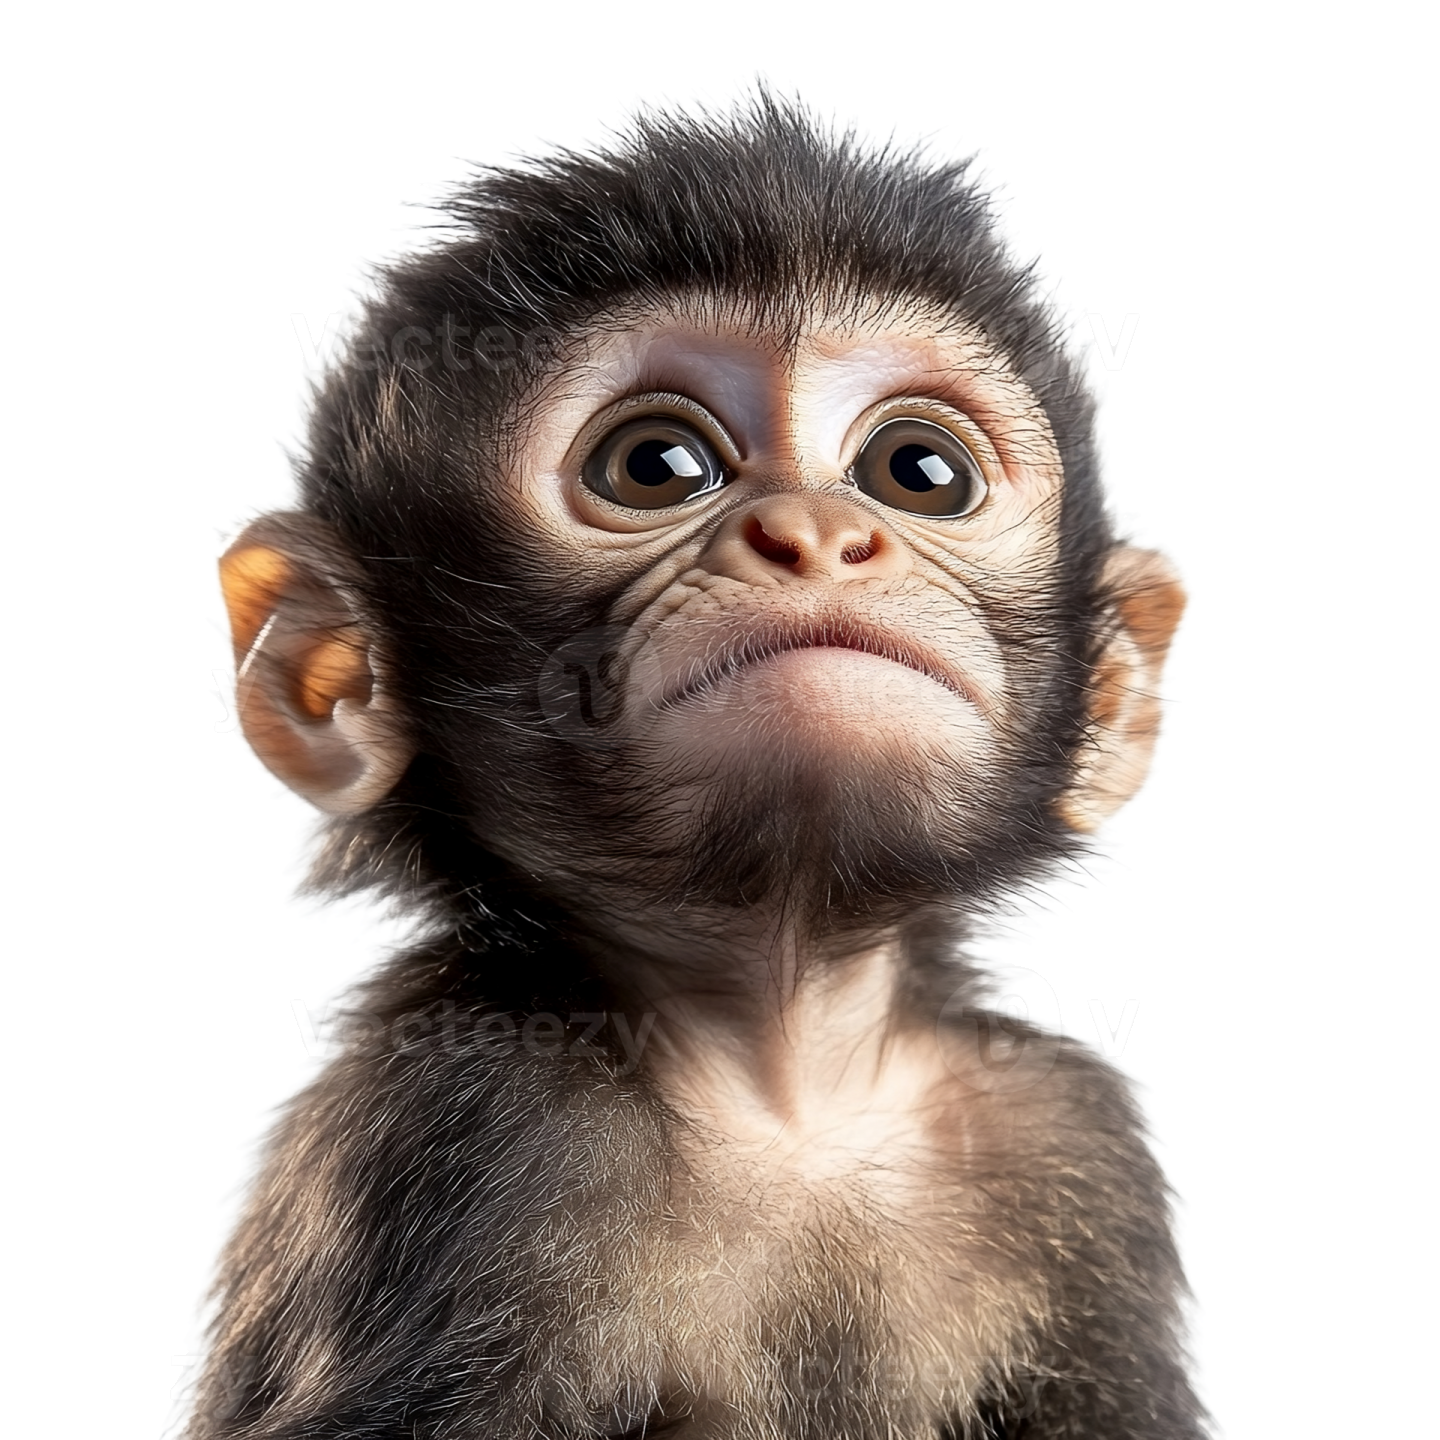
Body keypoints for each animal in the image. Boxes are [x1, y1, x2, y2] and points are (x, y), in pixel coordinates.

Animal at [173, 78, 1220, 1439]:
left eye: (918, 471)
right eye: (655, 465)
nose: (818, 534)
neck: (784, 1070)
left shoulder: (1070, 1141)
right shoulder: (455, 1118)